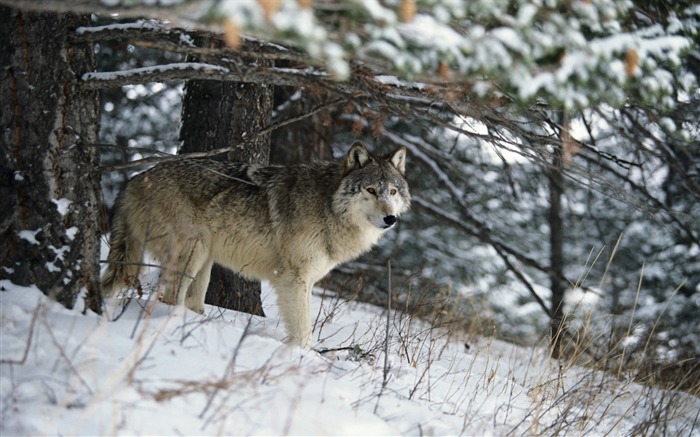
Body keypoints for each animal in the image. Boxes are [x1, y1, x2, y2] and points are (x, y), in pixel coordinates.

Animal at [102, 141, 410, 346]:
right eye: (371, 190)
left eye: (393, 192)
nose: (390, 218)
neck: (327, 205)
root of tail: (134, 179)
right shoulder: (294, 279)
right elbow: (303, 330)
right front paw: (303, 358)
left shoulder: (306, 280)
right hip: (192, 252)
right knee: (169, 298)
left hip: (204, 260)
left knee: (191, 301)